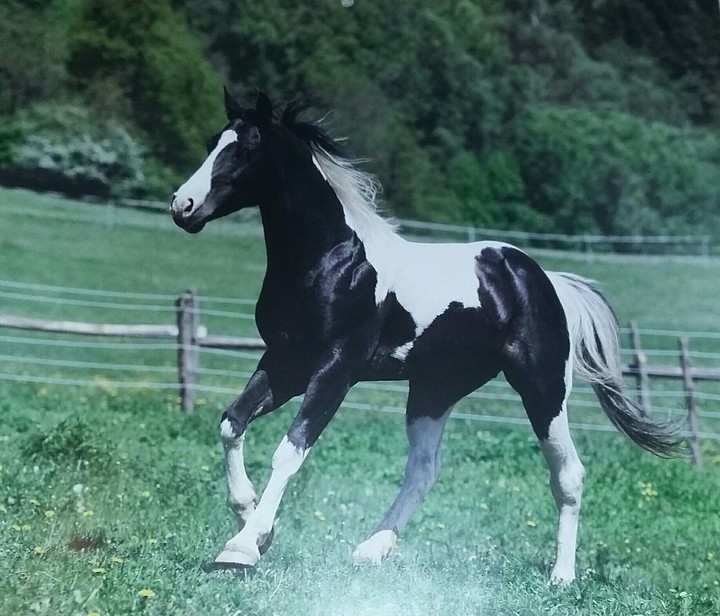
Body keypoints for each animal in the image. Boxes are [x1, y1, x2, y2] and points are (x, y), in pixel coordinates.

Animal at [170, 89, 681, 585]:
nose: (182, 206)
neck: (332, 261)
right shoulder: (284, 362)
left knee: (568, 474)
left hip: (542, 388)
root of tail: (544, 280)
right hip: (435, 389)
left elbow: (290, 450)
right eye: (214, 141)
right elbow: (232, 423)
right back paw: (371, 549)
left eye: (247, 147)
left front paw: (242, 547)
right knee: (423, 469)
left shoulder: (335, 368)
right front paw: (253, 525)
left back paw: (562, 576)